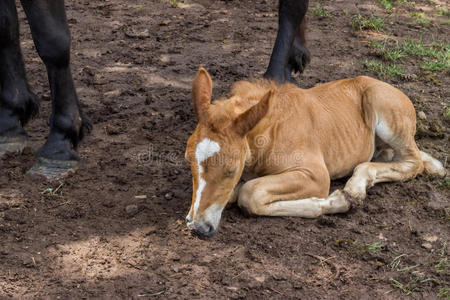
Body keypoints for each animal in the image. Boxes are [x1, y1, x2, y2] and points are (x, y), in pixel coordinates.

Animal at [185, 69, 444, 238]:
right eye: (189, 160)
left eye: (231, 170)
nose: (198, 227)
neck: (269, 131)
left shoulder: (316, 174)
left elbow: (251, 193)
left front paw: (338, 200)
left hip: (385, 112)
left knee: (412, 162)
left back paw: (356, 186)